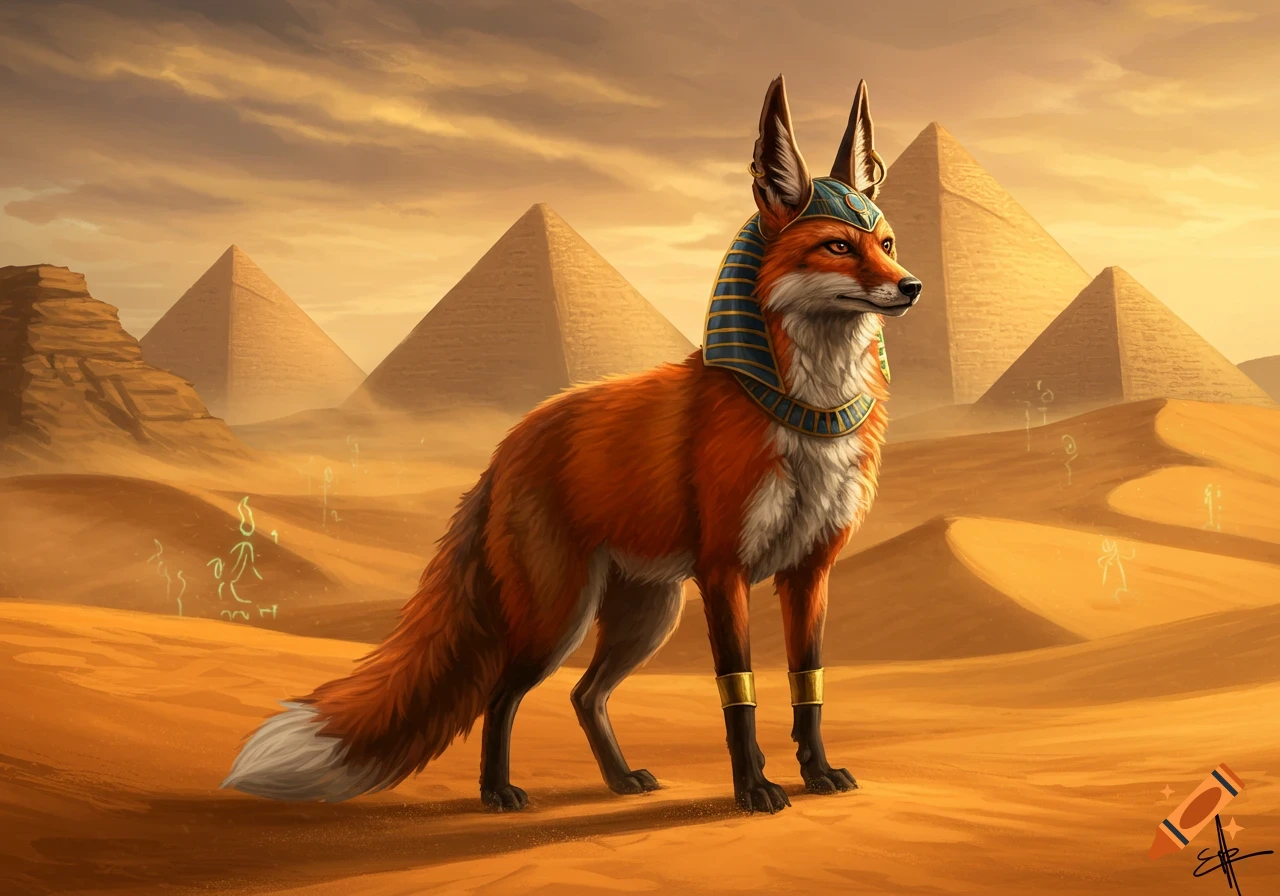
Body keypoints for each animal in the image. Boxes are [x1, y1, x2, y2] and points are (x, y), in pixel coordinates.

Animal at [222, 75, 921, 815]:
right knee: (501, 695)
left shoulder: (809, 570)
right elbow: (740, 694)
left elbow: (807, 683)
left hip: (646, 613)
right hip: (558, 615)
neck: (804, 413)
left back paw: (618, 779)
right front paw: (753, 787)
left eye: (887, 241)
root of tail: (507, 447)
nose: (912, 285)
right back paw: (497, 791)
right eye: (839, 247)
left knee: (585, 695)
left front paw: (817, 773)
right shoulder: (724, 570)